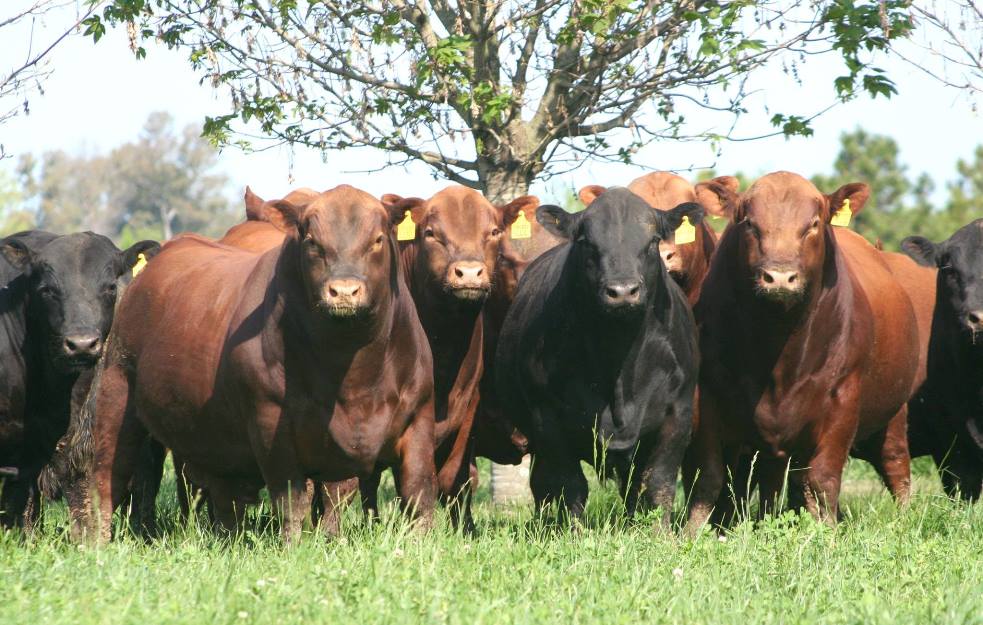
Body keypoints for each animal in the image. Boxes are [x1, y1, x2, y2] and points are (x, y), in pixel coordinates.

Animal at [82, 185, 437, 543]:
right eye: (312, 241)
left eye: (377, 239)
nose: (344, 291)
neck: (352, 373)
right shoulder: (272, 425)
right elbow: (292, 504)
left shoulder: (420, 419)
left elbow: (418, 497)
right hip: (117, 398)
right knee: (108, 480)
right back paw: (96, 543)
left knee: (224, 499)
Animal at [495, 187, 703, 527]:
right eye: (586, 242)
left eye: (653, 241)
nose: (622, 291)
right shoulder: (547, 418)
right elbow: (569, 485)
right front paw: (574, 532)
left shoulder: (678, 412)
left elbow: (658, 483)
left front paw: (659, 533)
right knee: (541, 486)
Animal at [686, 172, 921, 531]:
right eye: (750, 224)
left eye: (812, 224)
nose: (780, 277)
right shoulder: (709, 393)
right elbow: (710, 476)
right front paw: (693, 532)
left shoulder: (842, 400)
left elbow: (823, 479)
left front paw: (827, 534)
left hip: (894, 413)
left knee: (895, 465)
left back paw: (903, 520)